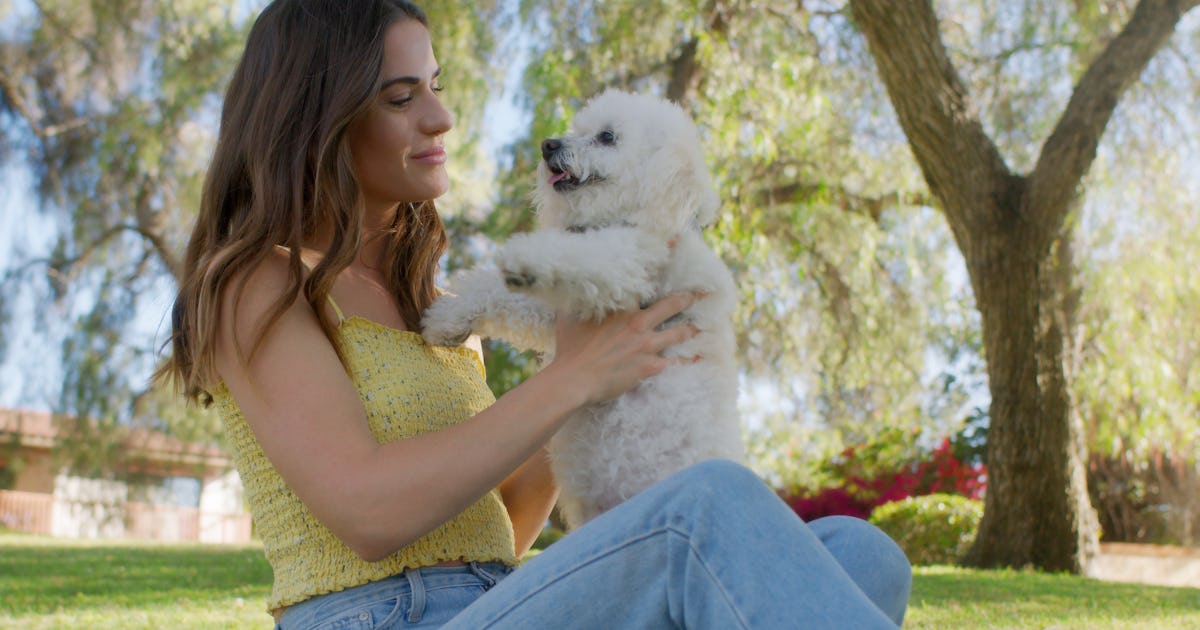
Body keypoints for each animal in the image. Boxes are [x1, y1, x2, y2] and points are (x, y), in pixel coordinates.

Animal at [420, 88, 739, 528]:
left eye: (607, 137)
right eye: (578, 129)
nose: (547, 145)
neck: (630, 218)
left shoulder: (629, 265)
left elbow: (581, 254)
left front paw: (524, 256)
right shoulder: (562, 311)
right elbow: (495, 292)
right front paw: (446, 320)